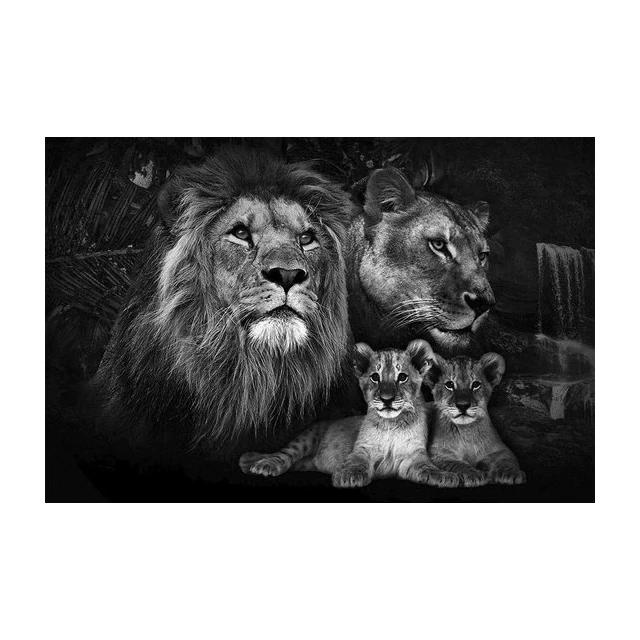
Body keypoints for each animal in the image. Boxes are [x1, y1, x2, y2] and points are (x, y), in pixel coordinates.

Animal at [239, 340, 459, 489]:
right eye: (375, 377)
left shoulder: (413, 456)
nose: (387, 399)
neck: (391, 424)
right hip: (306, 437)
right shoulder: (362, 448)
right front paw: (348, 476)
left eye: (402, 377)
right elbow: (356, 462)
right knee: (284, 454)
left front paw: (445, 476)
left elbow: (427, 468)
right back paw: (262, 464)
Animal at [424, 350, 526, 487]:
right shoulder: (438, 453)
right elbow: (456, 464)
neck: (467, 431)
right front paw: (474, 475)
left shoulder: (500, 449)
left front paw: (511, 474)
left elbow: (507, 460)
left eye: (476, 384)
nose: (463, 405)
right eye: (449, 385)